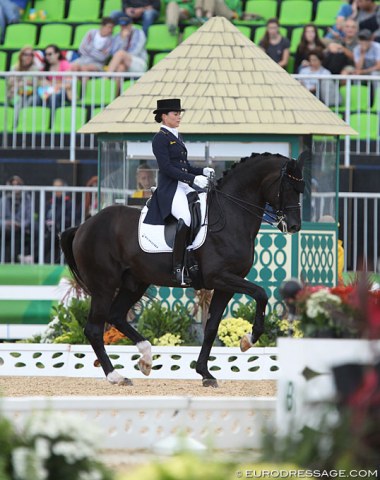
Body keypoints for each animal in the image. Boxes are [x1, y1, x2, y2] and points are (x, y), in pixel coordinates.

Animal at [61, 152, 306, 388]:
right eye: (287, 187)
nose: (294, 226)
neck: (231, 215)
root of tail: (83, 226)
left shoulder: (226, 285)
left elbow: (211, 327)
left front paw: (205, 373)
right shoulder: (220, 277)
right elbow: (261, 294)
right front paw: (248, 340)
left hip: (135, 283)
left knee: (116, 316)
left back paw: (146, 359)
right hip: (104, 286)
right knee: (94, 329)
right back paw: (116, 376)